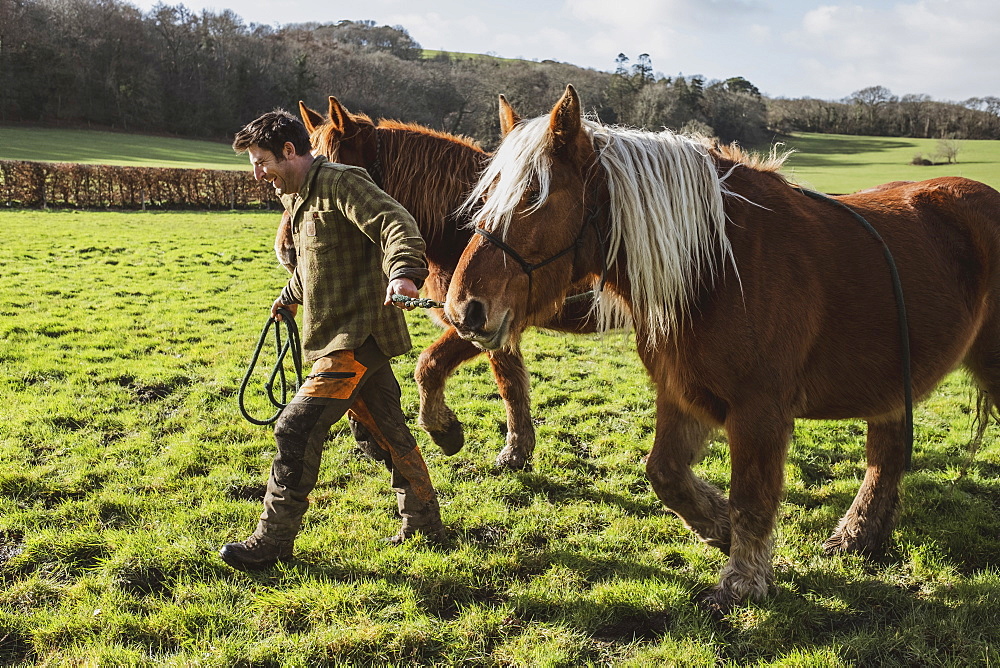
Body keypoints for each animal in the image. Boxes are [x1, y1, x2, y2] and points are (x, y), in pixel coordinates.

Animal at [274, 96, 596, 470]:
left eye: (332, 177)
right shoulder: (494, 325)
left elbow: (428, 365)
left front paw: (446, 430)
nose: (287, 250)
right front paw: (517, 448)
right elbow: (510, 382)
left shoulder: (479, 322)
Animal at [446, 83, 1000, 612]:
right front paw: (720, 528)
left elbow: (751, 497)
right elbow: (664, 474)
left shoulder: (759, 411)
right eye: (486, 193)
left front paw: (741, 582)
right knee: (886, 454)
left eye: (533, 198)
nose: (463, 309)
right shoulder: (682, 394)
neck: (715, 267)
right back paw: (857, 537)